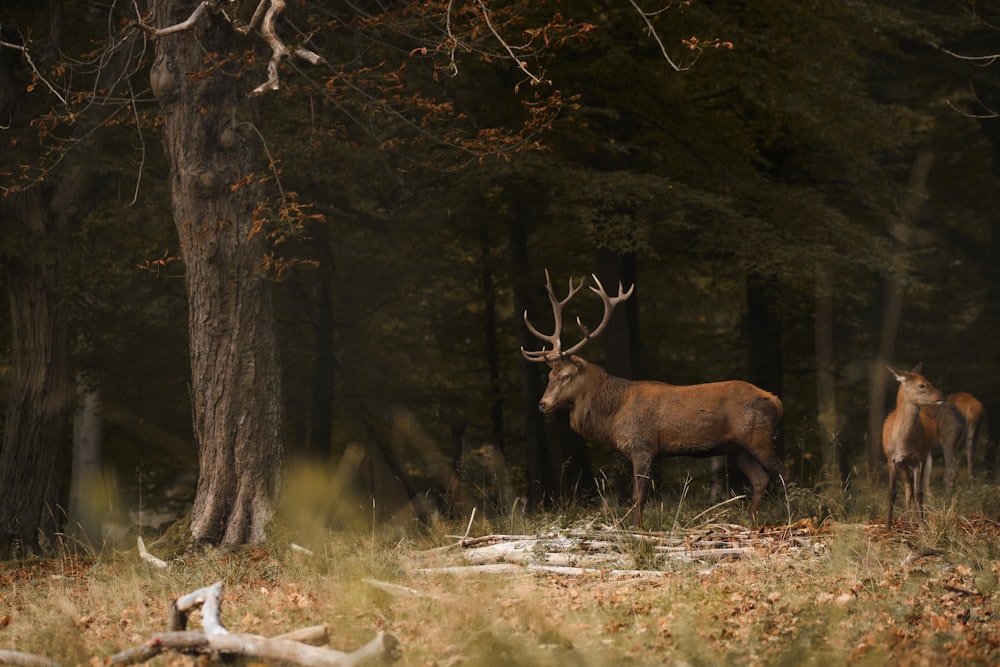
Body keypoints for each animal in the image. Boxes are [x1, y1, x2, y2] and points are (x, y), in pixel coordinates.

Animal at [524, 270, 788, 528]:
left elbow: (638, 495)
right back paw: (751, 521)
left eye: (565, 376)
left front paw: (637, 529)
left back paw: (789, 516)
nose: (542, 404)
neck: (613, 416)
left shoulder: (642, 446)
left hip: (758, 436)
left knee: (783, 472)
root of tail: (777, 401)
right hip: (737, 447)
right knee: (760, 479)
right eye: (550, 375)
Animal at [884, 362, 944, 528]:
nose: (941, 396)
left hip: (924, 456)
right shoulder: (891, 458)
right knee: (907, 487)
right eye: (922, 385)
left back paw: (911, 521)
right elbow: (892, 492)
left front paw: (922, 525)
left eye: (929, 380)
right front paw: (887, 527)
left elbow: (919, 493)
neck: (903, 443)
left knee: (913, 488)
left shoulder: (919, 458)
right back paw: (907, 522)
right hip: (902, 464)